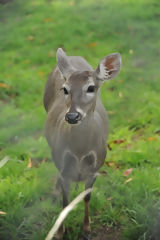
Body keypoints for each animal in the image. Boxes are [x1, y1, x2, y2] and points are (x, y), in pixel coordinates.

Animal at [43, 47, 120, 239]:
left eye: (91, 87)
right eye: (65, 89)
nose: (72, 116)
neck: (79, 150)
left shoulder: (96, 166)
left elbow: (86, 197)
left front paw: (86, 230)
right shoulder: (64, 166)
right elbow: (65, 201)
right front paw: (59, 232)